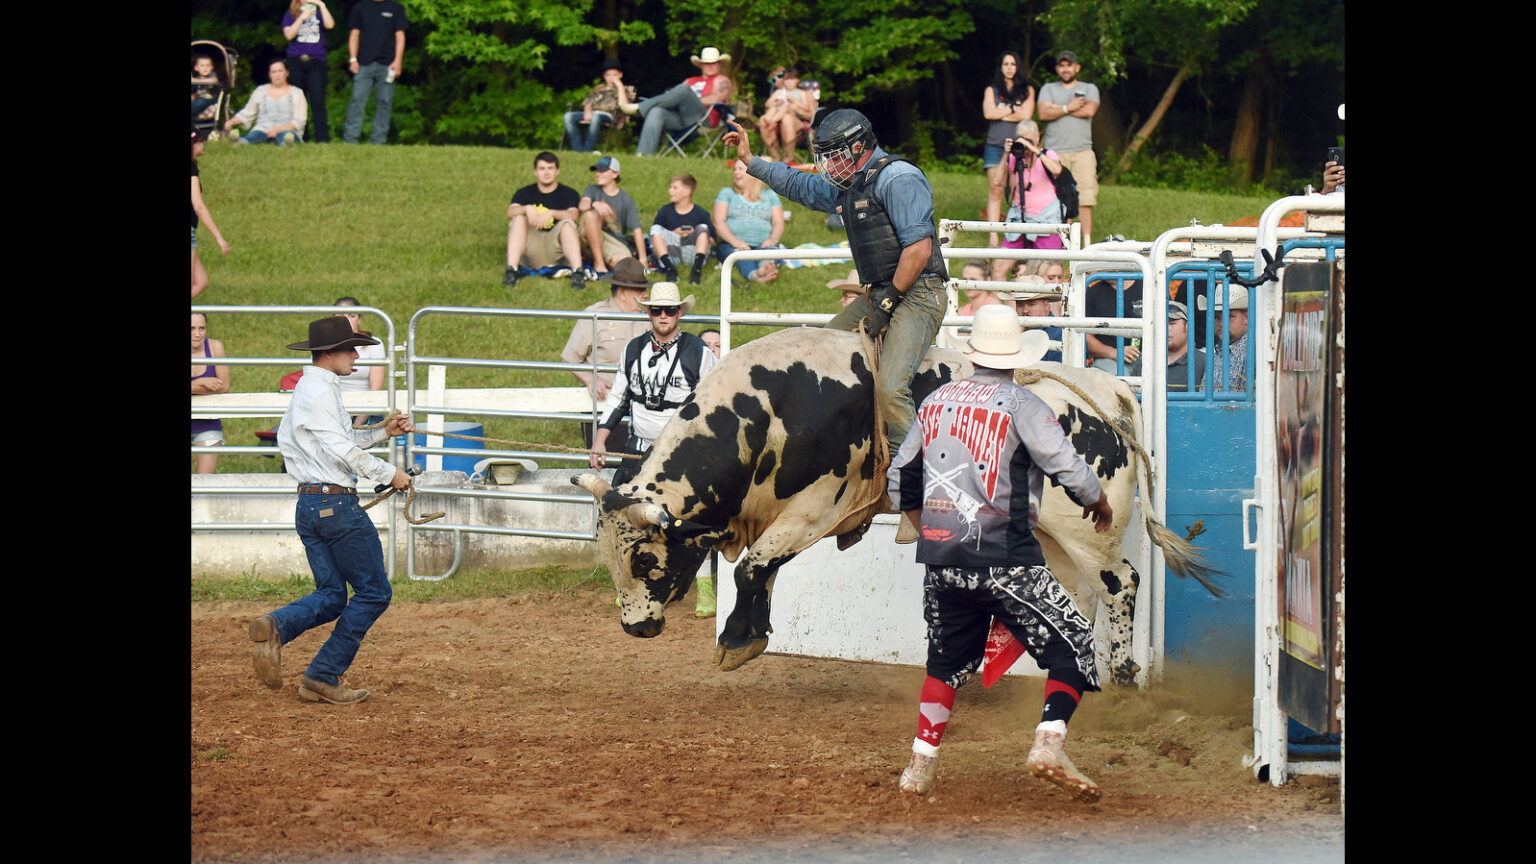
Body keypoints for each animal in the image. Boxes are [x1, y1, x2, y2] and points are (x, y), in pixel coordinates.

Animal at [577, 325, 1222, 682]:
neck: (769, 412)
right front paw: (750, 633)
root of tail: (1102, 392)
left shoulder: (817, 507)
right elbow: (760, 569)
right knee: (1080, 595)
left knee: (1121, 583)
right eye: (607, 558)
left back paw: (1124, 672)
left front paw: (739, 640)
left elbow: (754, 567)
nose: (635, 628)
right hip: (1052, 536)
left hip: (1091, 528)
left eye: (644, 559)